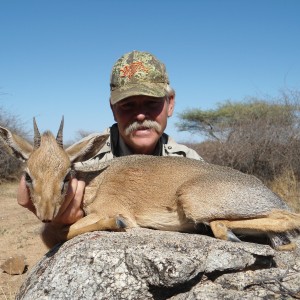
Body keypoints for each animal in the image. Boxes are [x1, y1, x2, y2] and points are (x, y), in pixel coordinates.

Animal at [0, 118, 300, 250]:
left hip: (194, 200)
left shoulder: (108, 209)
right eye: (28, 175)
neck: (94, 181)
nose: (46, 215)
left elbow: (64, 233)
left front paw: (117, 223)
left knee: (289, 216)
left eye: (65, 175)